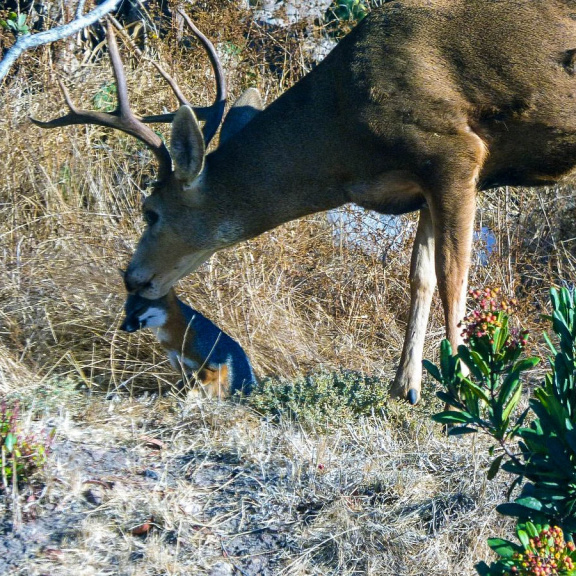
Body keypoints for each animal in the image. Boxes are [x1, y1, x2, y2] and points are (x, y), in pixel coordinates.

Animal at [119, 290, 254, 398]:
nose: (122, 327)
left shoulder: (216, 364)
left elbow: (203, 378)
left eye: (138, 310)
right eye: (126, 310)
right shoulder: (182, 367)